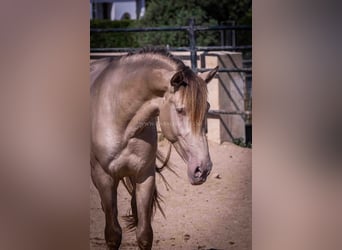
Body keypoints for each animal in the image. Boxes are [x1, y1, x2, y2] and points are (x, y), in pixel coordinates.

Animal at [91, 47, 218, 249]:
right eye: (180, 110)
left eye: (207, 108)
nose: (203, 169)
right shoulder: (104, 178)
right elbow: (113, 234)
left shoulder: (145, 176)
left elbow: (144, 234)